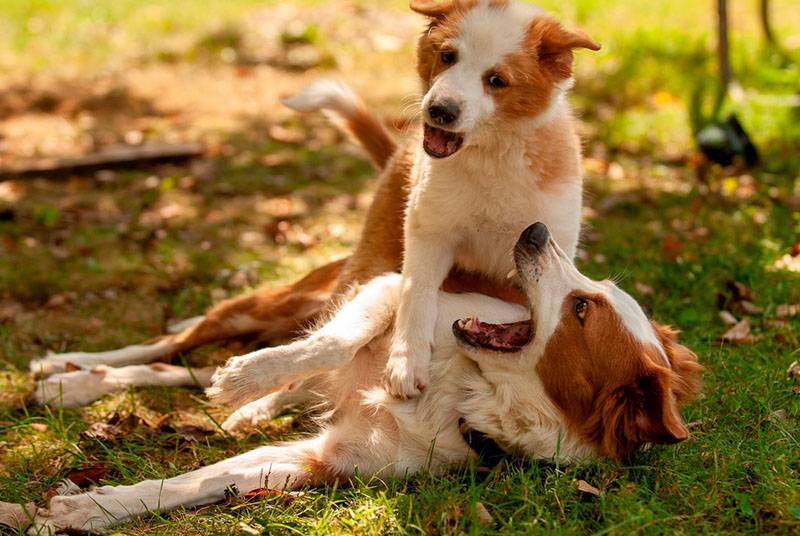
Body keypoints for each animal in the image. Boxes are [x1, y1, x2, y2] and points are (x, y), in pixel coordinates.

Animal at [21, 222, 704, 532]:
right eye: (595, 290)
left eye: (582, 308)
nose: (534, 231)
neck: (467, 393)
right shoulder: (391, 291)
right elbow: (333, 343)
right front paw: (248, 378)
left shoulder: (323, 462)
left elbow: (199, 482)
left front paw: (86, 509)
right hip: (278, 304)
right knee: (175, 345)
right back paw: (67, 374)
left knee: (182, 370)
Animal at [382, 1, 600, 398]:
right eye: (447, 56)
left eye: (496, 81)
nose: (440, 110)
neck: (493, 156)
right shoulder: (430, 231)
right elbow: (415, 292)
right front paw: (407, 361)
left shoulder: (550, 247)